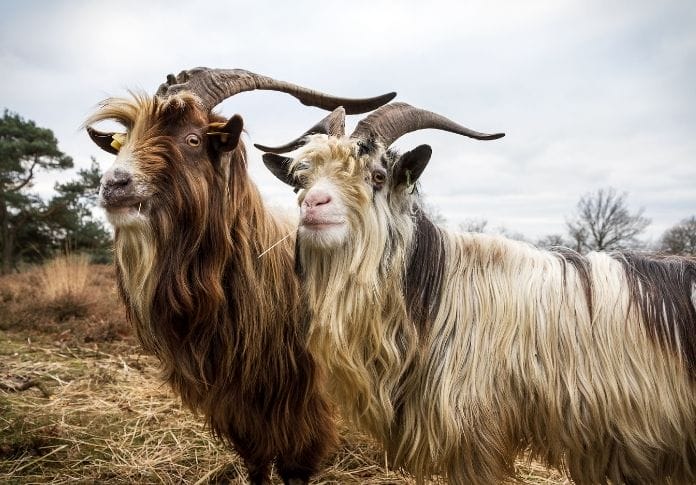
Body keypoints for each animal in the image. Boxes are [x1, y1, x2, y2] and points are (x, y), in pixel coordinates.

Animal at [85, 68, 396, 485]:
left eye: (194, 138)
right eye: (125, 138)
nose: (114, 184)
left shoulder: (304, 404)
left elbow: (296, 467)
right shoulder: (237, 407)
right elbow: (256, 463)